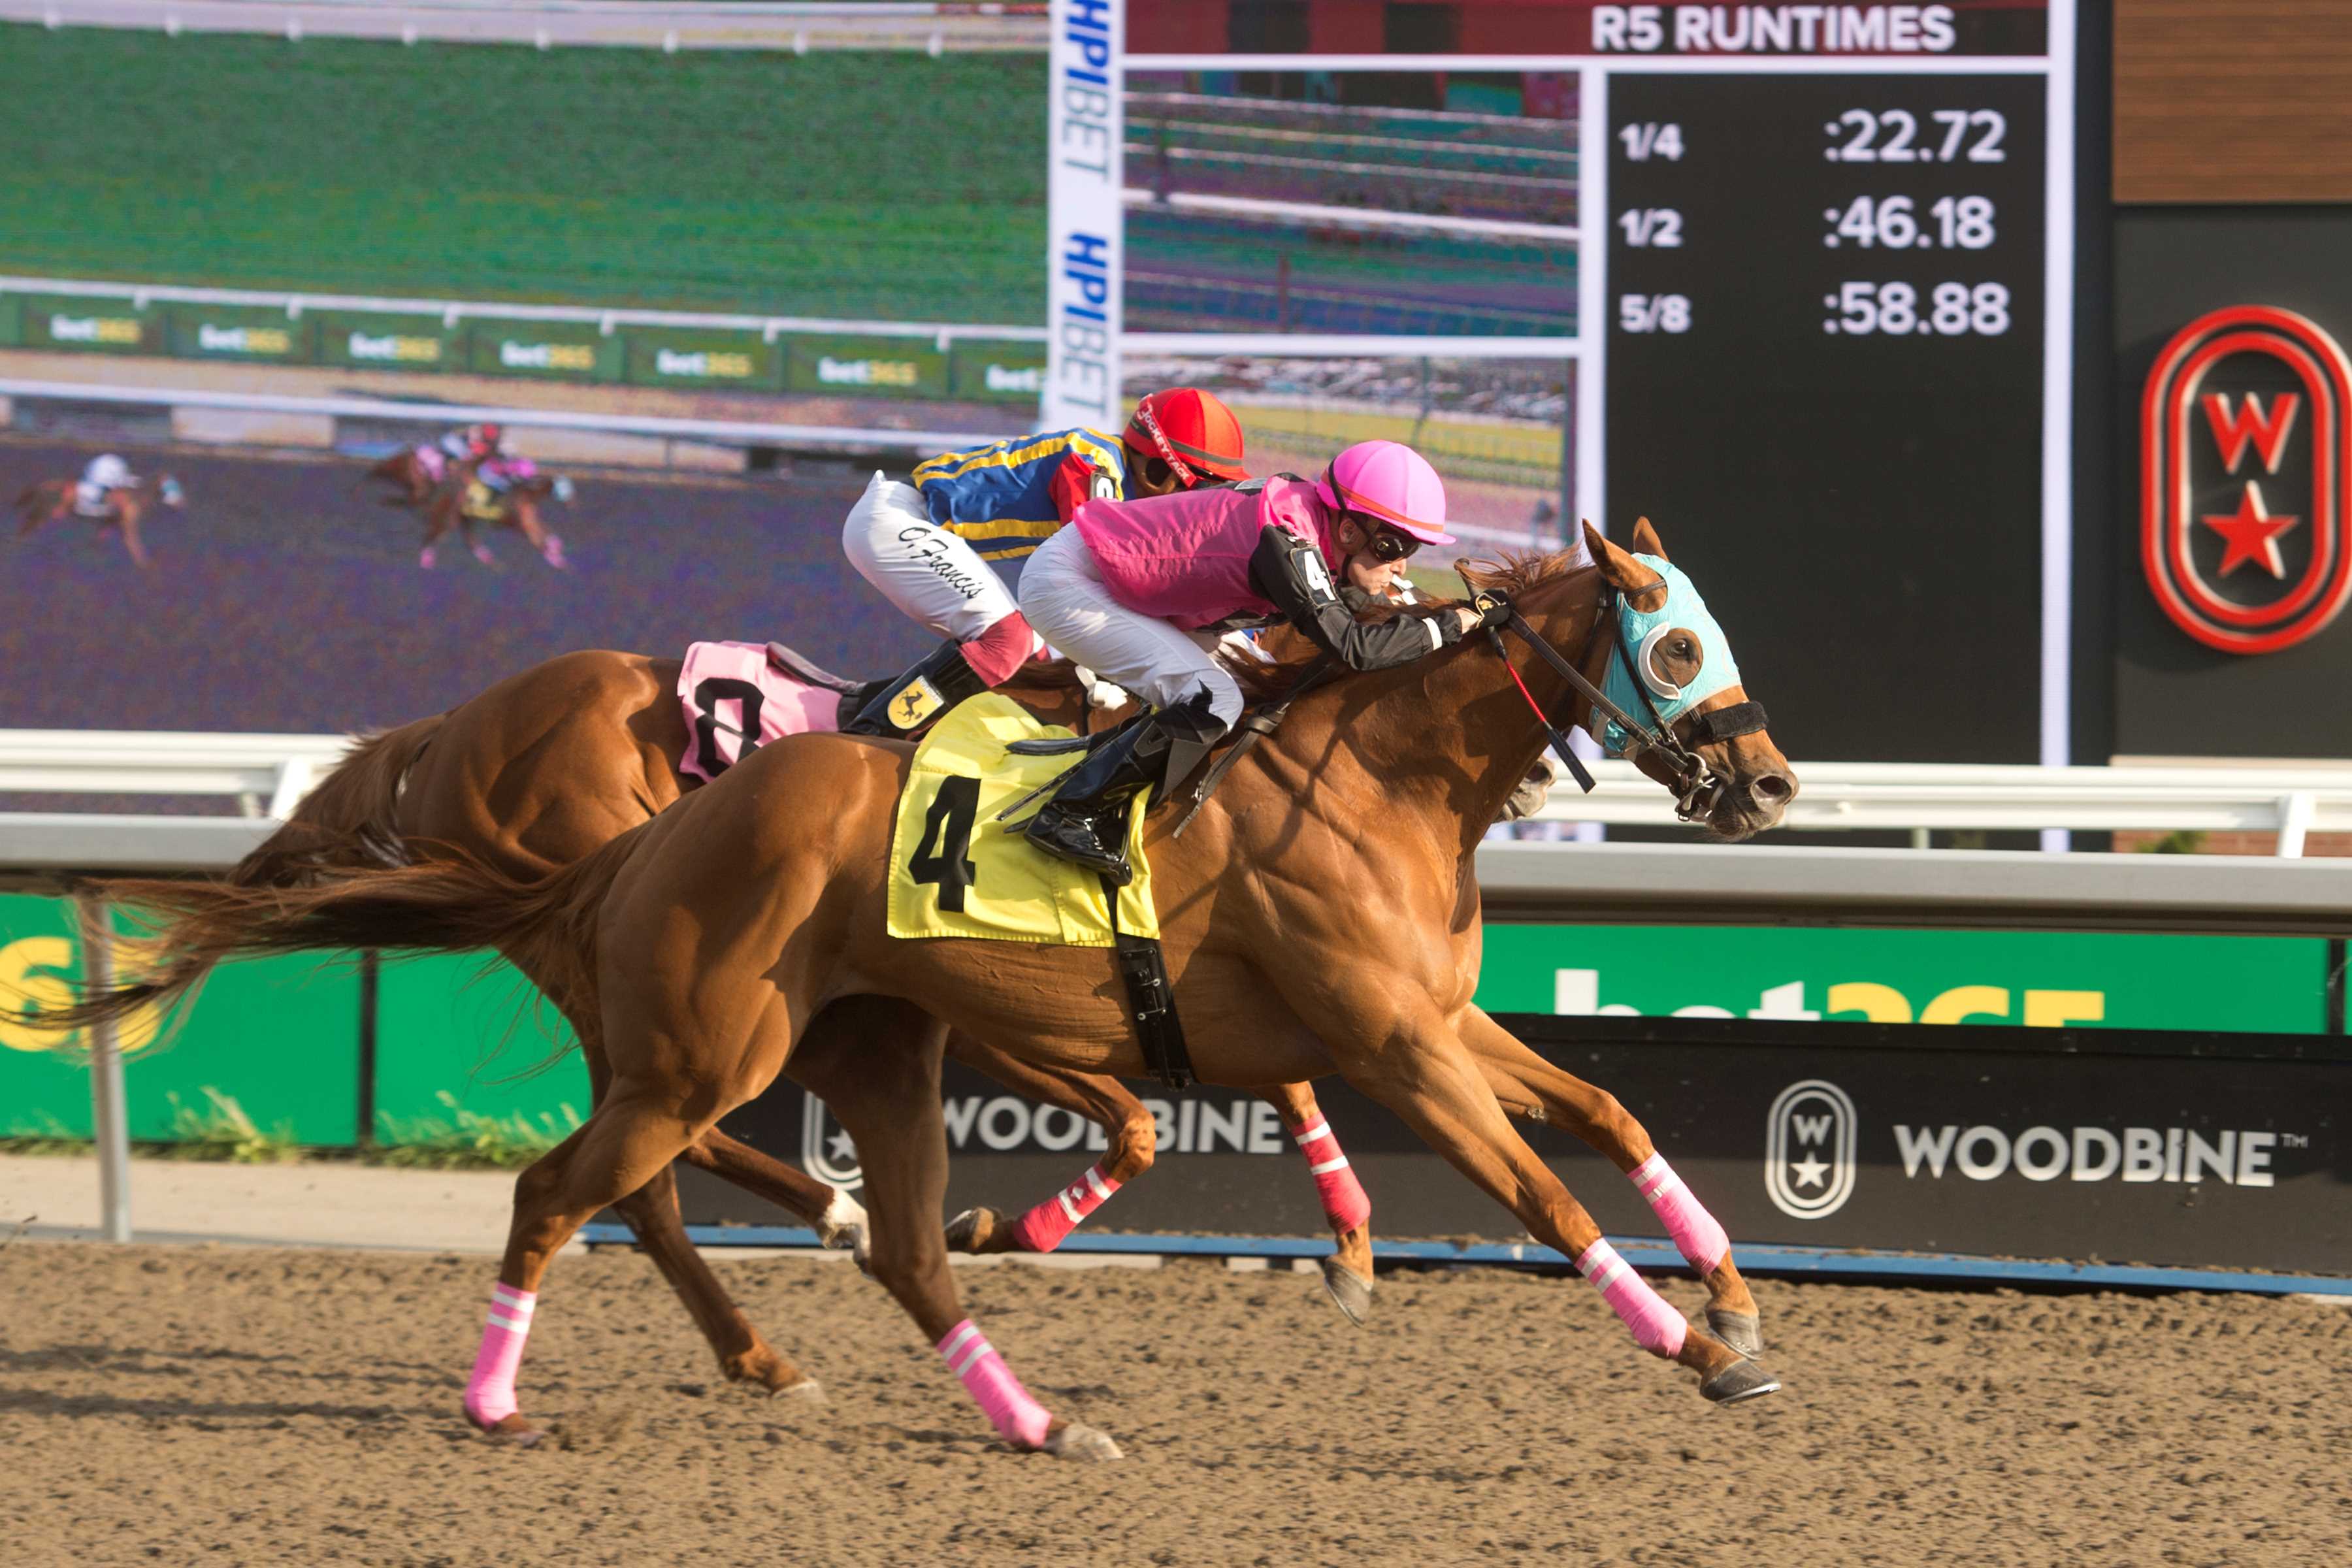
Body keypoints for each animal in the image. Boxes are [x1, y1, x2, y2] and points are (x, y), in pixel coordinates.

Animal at [14, 472, 183, 571]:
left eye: (177, 485)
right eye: (172, 486)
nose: (182, 502)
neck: (136, 496)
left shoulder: (110, 523)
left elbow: (98, 540)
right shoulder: (128, 526)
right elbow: (135, 545)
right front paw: (147, 564)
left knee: (28, 523)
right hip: (49, 512)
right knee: (30, 525)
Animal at [59, 521, 1797, 1457]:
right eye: (1675, 641)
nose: (1772, 782)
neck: (1377, 771)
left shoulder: (1429, 1022)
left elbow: (1606, 1107)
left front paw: (1725, 1284)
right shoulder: (1391, 1044)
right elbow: (1542, 1194)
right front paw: (1703, 1349)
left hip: (848, 1043)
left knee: (847, 1234)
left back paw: (994, 1399)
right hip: (697, 1041)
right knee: (586, 1185)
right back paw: (516, 1394)